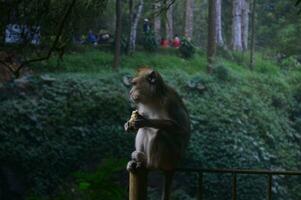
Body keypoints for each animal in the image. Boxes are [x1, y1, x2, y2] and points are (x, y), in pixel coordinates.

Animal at [123, 67, 190, 200]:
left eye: (134, 84)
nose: (130, 93)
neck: (153, 99)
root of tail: (175, 166)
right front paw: (128, 125)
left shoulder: (169, 102)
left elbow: (182, 128)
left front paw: (143, 120)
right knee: (144, 130)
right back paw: (139, 159)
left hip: (171, 157)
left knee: (161, 134)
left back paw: (150, 164)